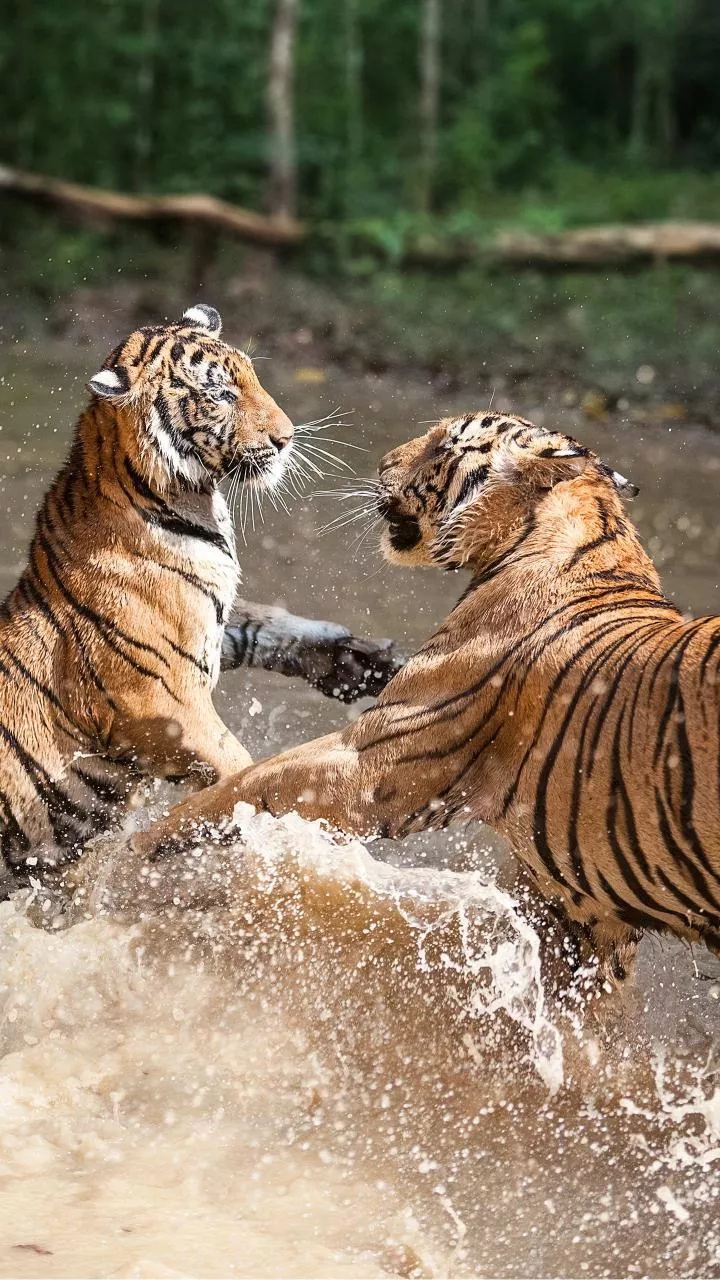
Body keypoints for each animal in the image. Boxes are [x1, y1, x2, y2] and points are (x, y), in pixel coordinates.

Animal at [0, 302, 399, 892]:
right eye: (221, 394)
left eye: (251, 377)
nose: (286, 438)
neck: (195, 503)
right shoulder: (160, 702)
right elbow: (237, 766)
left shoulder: (207, 631)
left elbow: (271, 627)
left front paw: (362, 663)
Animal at [132, 408, 720, 980]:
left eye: (442, 445)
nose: (382, 462)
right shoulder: (580, 912)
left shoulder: (371, 759)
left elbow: (243, 786)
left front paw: (133, 849)